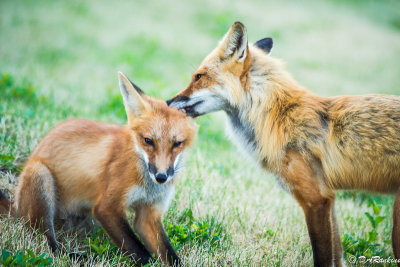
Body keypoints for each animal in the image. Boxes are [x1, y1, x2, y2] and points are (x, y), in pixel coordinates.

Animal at [0, 72, 198, 266]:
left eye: (177, 144)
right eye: (148, 141)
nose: (161, 177)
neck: (148, 184)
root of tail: (16, 208)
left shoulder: (149, 214)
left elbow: (170, 256)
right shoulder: (106, 207)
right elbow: (141, 253)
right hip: (41, 176)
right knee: (48, 243)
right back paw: (77, 256)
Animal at [167, 21, 400, 267]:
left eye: (198, 76)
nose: (167, 102)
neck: (277, 115)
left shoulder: (316, 199)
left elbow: (322, 257)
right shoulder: (330, 200)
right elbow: (337, 257)